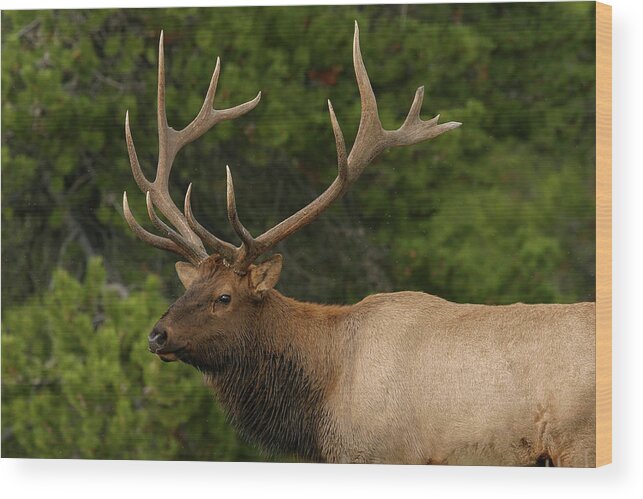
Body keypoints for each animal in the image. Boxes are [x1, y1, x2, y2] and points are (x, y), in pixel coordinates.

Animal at [122, 24, 600, 468]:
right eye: (187, 288)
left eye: (224, 296)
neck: (324, 403)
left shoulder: (386, 453)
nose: (157, 334)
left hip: (580, 443)